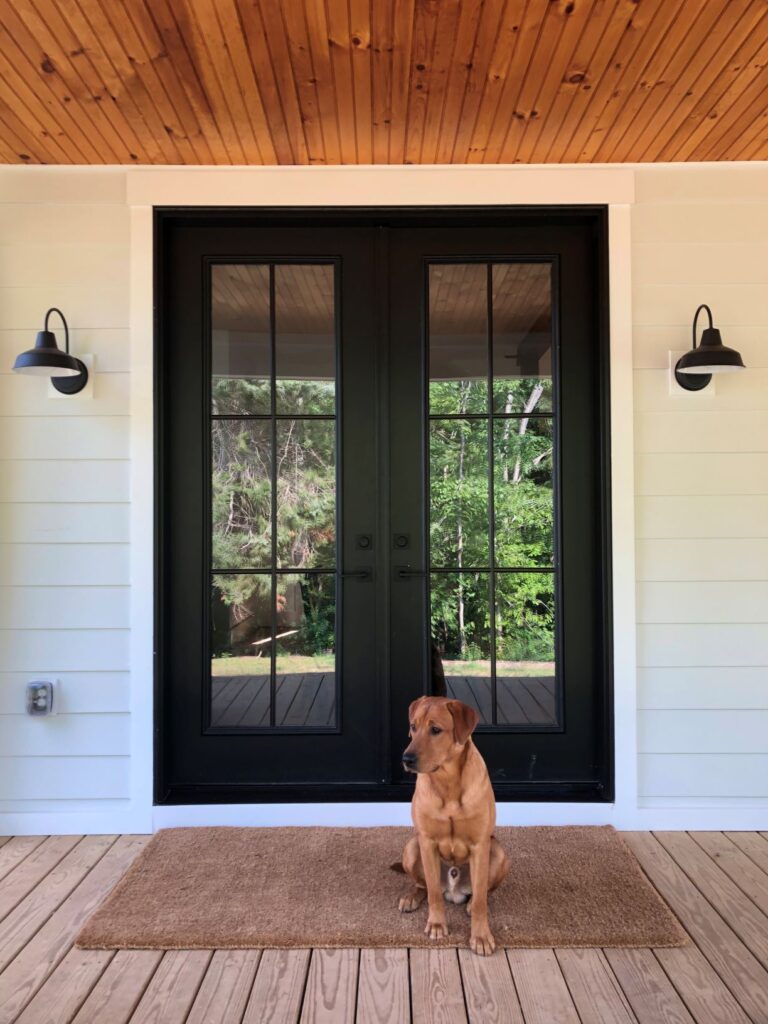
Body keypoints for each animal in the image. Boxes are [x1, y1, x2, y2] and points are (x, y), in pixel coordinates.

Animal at [393, 696, 507, 950]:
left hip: (498, 852)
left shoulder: (480, 844)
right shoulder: (427, 842)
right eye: (413, 727)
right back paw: (411, 897)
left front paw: (481, 936)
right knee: (424, 885)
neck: (448, 780)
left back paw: (470, 902)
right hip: (411, 848)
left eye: (436, 730)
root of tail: (454, 890)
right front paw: (436, 924)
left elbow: (481, 901)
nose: (406, 759)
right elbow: (434, 893)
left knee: (482, 892)